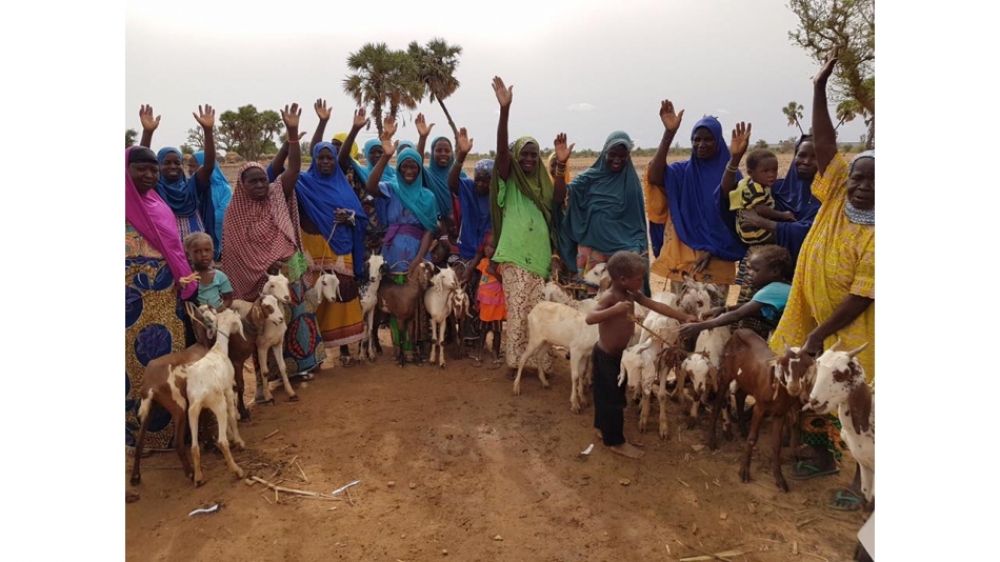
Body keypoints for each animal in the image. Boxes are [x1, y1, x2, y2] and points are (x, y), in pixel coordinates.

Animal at [130, 300, 216, 484]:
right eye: (208, 311)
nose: (214, 304)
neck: (202, 345)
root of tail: (150, 384)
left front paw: (208, 443)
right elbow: (205, 418)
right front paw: (210, 443)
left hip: (150, 408)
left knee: (140, 441)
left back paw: (135, 477)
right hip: (178, 406)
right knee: (177, 442)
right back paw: (190, 473)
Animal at [168, 308, 246, 484]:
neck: (219, 349)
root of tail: (199, 394)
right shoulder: (228, 390)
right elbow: (232, 415)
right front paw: (238, 440)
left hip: (192, 411)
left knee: (194, 447)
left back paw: (198, 477)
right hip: (218, 403)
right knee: (222, 442)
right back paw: (237, 470)